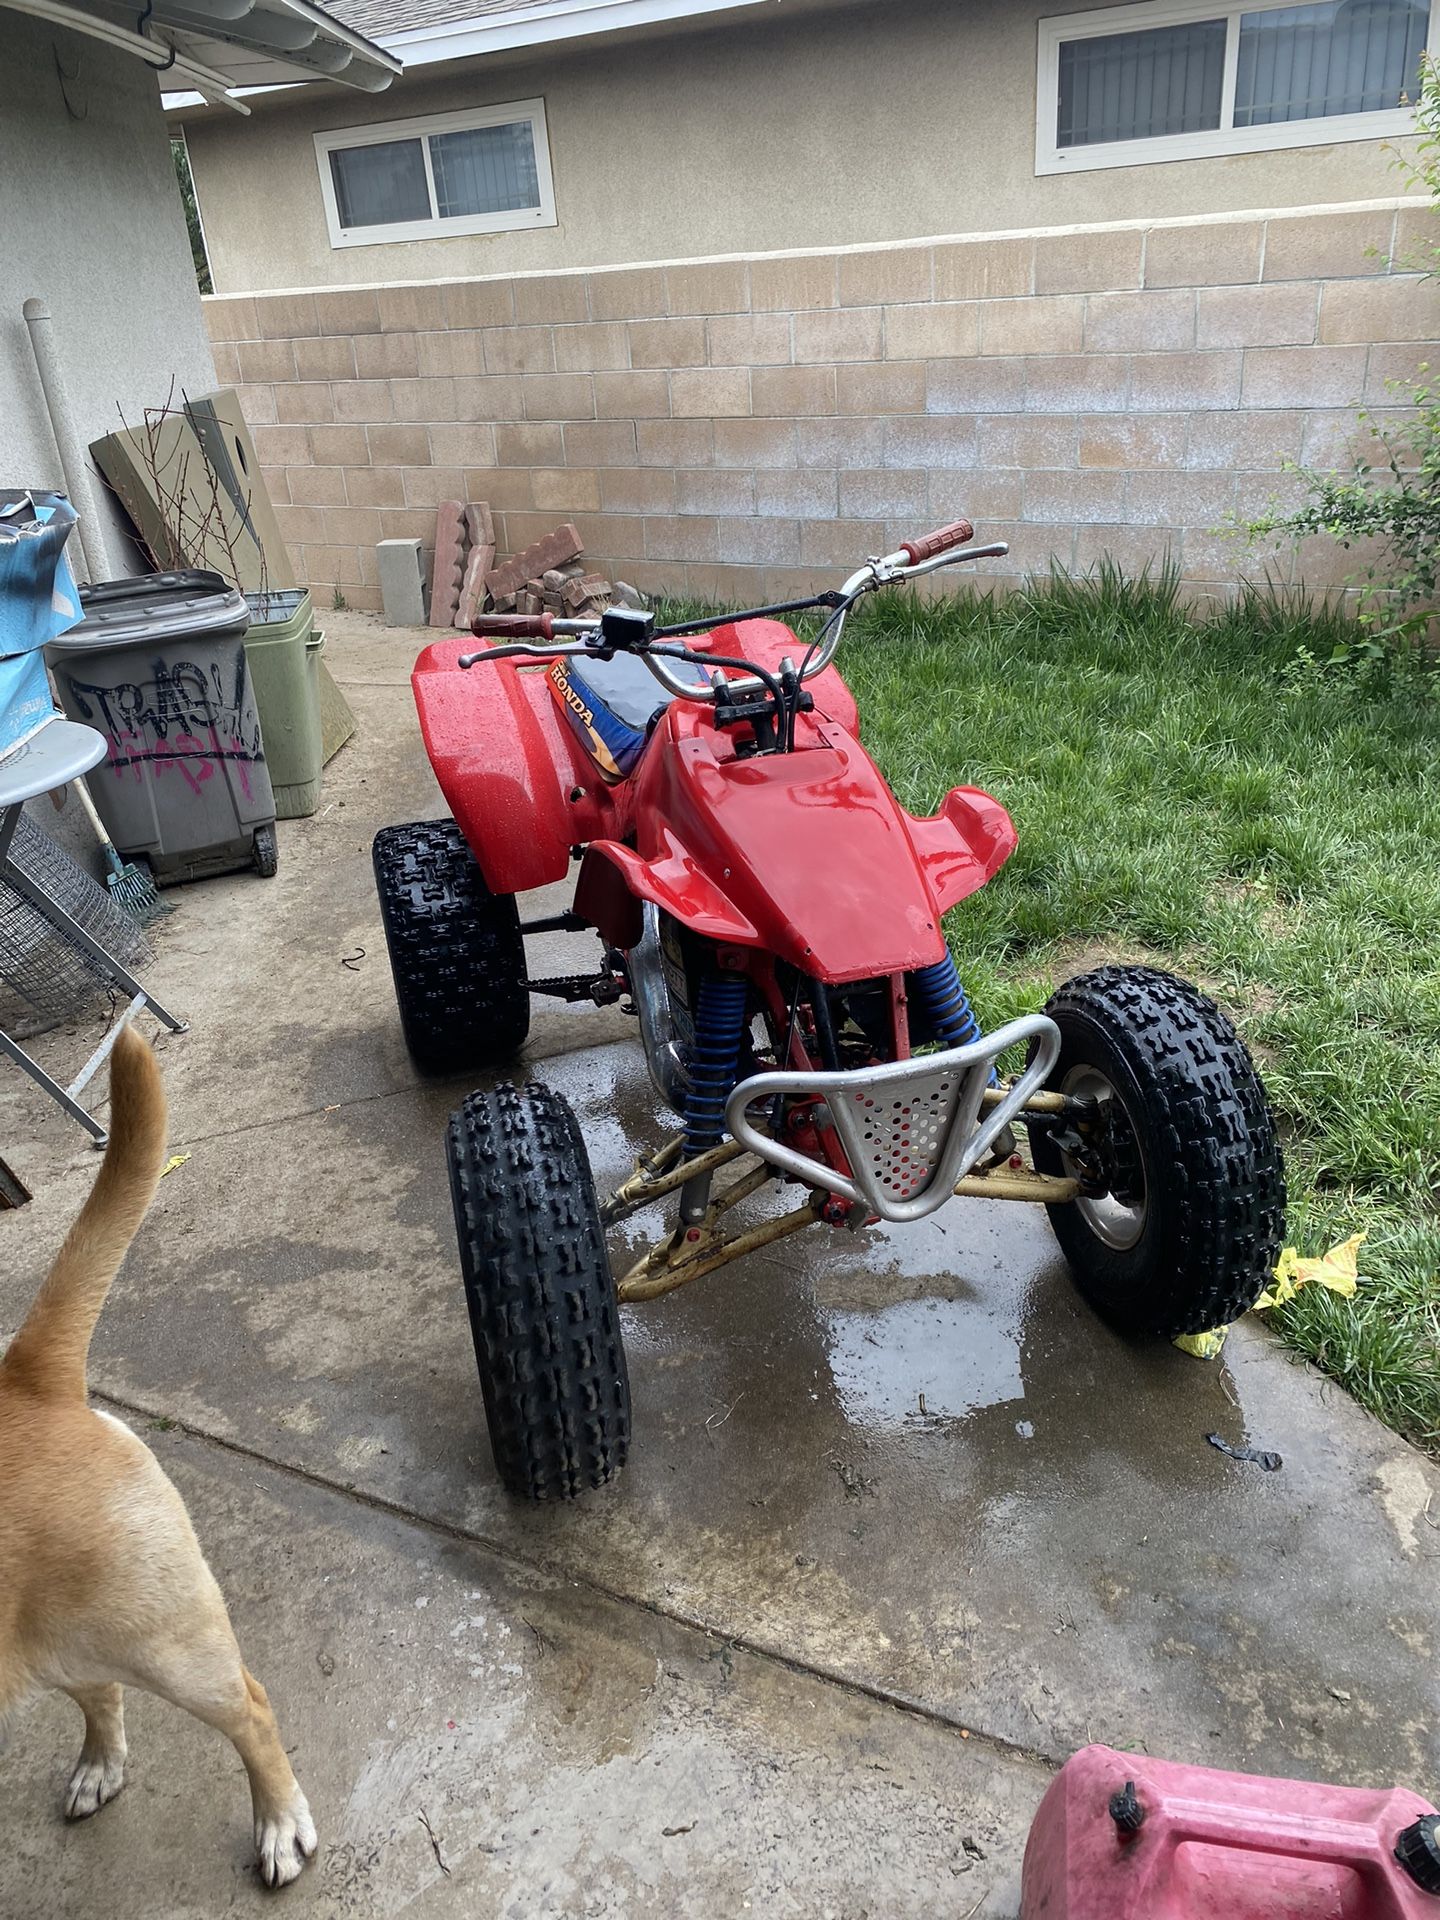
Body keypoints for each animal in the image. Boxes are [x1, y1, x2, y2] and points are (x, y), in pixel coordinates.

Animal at [0, 1036, 316, 1889]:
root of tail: (26, 1381)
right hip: (66, 1629)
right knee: (96, 1689)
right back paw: (99, 1763)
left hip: (163, 1638)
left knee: (251, 1706)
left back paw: (278, 1821)